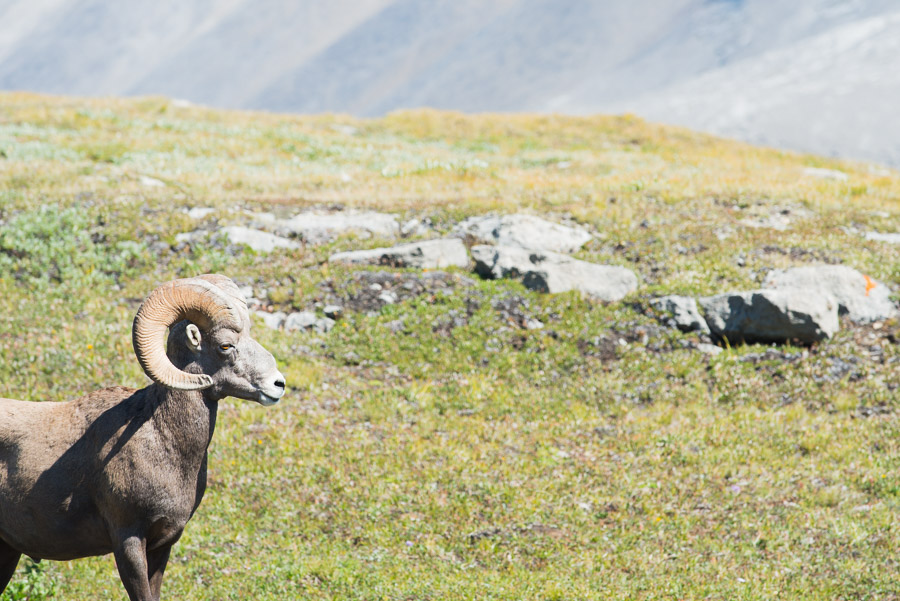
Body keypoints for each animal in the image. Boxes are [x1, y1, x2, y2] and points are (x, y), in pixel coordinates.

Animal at [0, 274, 286, 601]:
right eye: (225, 345)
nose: (278, 384)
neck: (164, 442)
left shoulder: (163, 545)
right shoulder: (129, 542)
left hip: (6, 552)